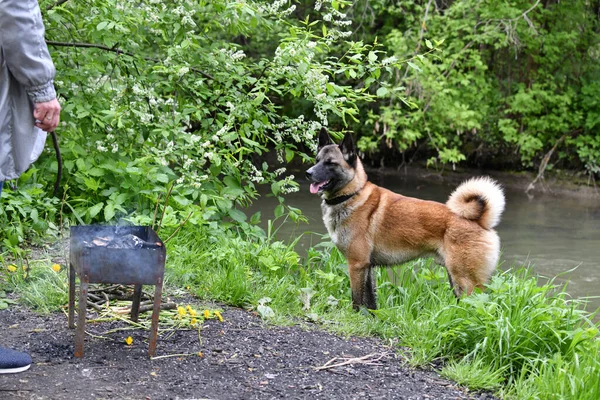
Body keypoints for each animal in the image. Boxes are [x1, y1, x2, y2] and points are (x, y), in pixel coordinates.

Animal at [308, 128, 504, 310]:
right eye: (317, 160)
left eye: (331, 163)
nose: (308, 173)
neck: (352, 195)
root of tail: (480, 221)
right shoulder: (367, 267)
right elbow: (370, 302)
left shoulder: (356, 265)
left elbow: (357, 300)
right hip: (455, 278)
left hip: (465, 281)